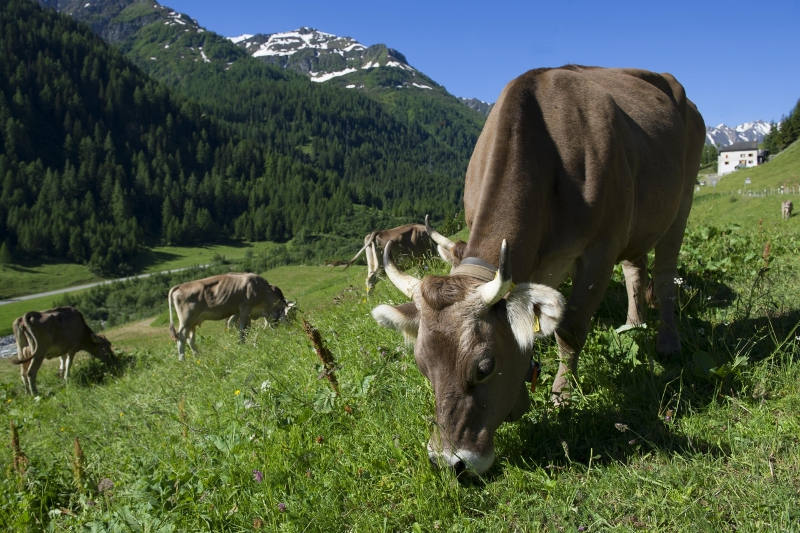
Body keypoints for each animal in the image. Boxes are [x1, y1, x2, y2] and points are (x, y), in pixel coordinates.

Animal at [372, 66, 704, 474]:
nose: (450, 463)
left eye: (485, 367)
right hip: (639, 219)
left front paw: (561, 396)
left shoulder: (600, 249)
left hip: (682, 201)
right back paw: (634, 323)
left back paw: (667, 342)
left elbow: (569, 329)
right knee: (635, 266)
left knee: (665, 274)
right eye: (422, 366)